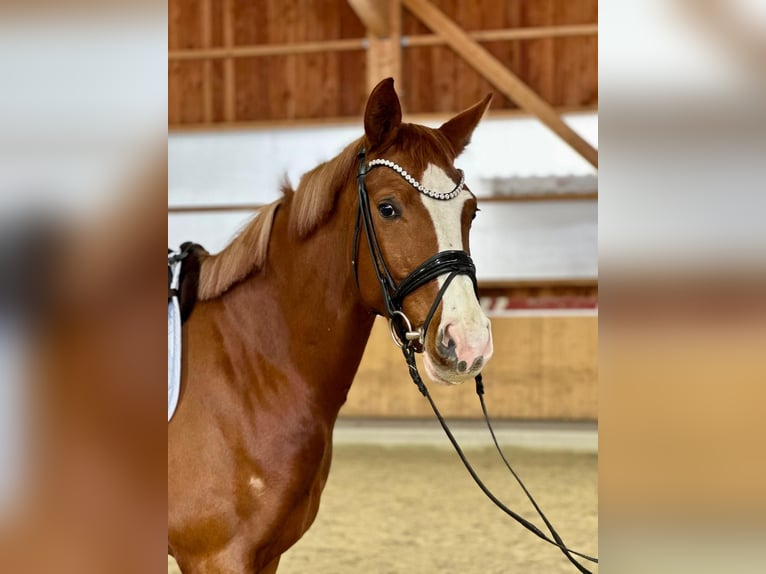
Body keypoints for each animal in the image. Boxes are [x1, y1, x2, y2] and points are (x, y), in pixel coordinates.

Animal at [168, 78, 494, 574]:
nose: (469, 342)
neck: (249, 370)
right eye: (387, 208)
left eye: (471, 212)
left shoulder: (266, 555)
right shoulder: (215, 557)